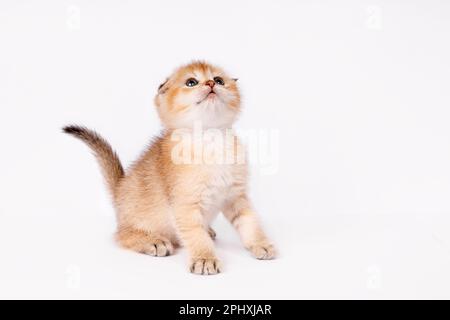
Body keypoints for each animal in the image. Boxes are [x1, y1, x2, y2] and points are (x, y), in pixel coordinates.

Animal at [62, 60, 274, 276]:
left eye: (219, 80)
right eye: (191, 82)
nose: (210, 84)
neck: (209, 138)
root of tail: (119, 189)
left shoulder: (236, 196)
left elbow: (250, 222)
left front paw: (261, 244)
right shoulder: (184, 204)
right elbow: (195, 234)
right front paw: (205, 258)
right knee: (121, 236)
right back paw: (153, 241)